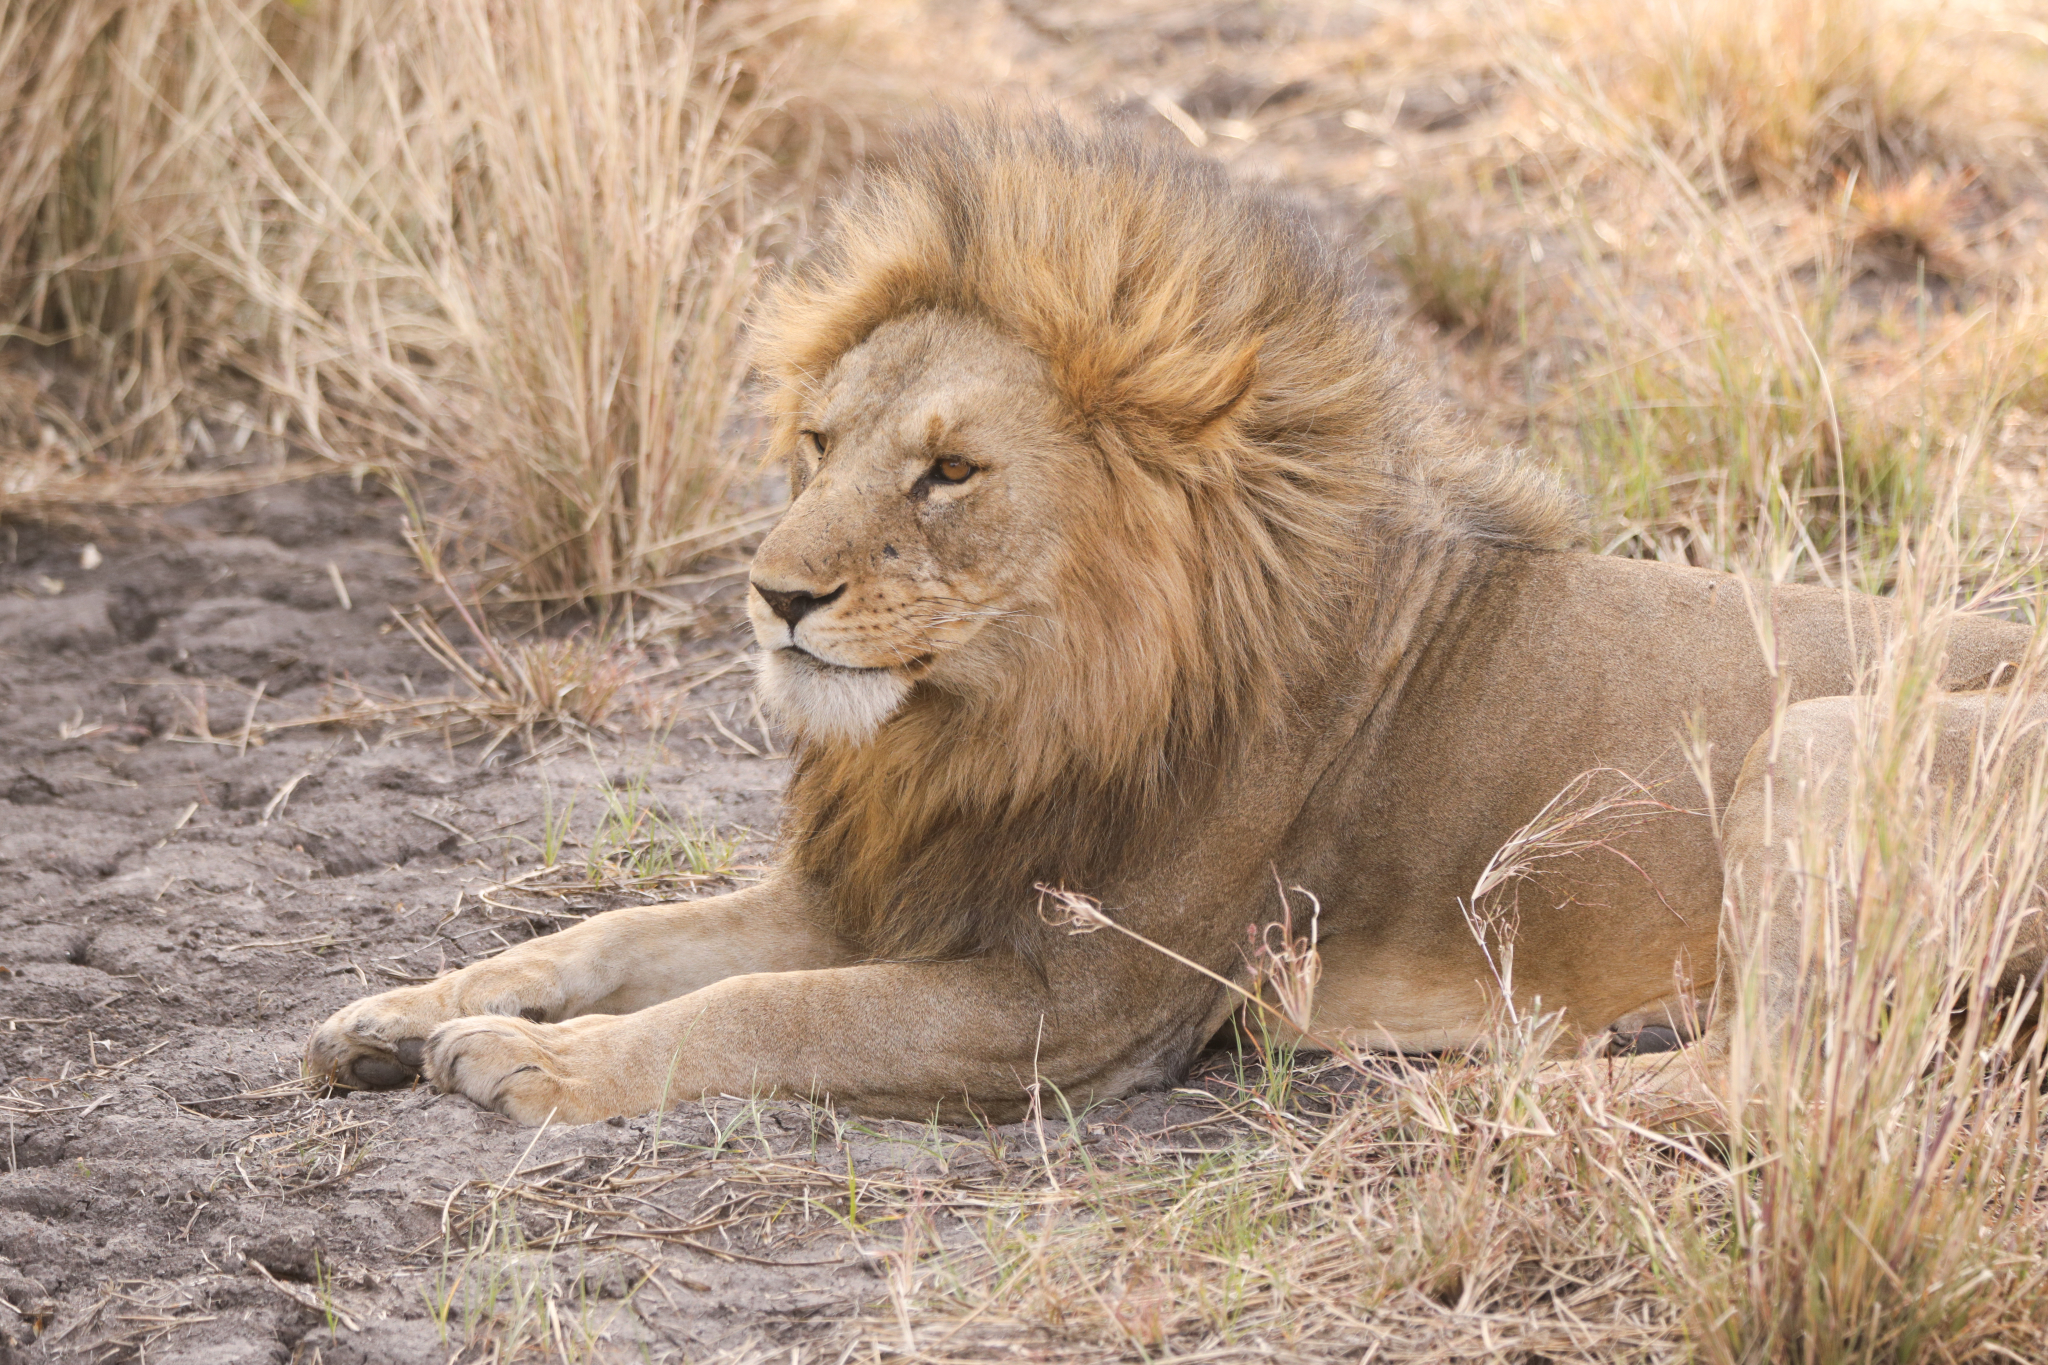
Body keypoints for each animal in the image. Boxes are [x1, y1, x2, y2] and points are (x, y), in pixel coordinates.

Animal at [307, 114, 2048, 1121]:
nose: (775, 596)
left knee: (1784, 1083)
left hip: (1827, 737)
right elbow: (608, 936)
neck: (1003, 712)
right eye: (816, 442)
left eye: (948, 471)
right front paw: (396, 1014)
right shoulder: (892, 889)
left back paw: (1474, 1103)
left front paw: (534, 1067)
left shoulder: (1081, 1007)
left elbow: (756, 1011)